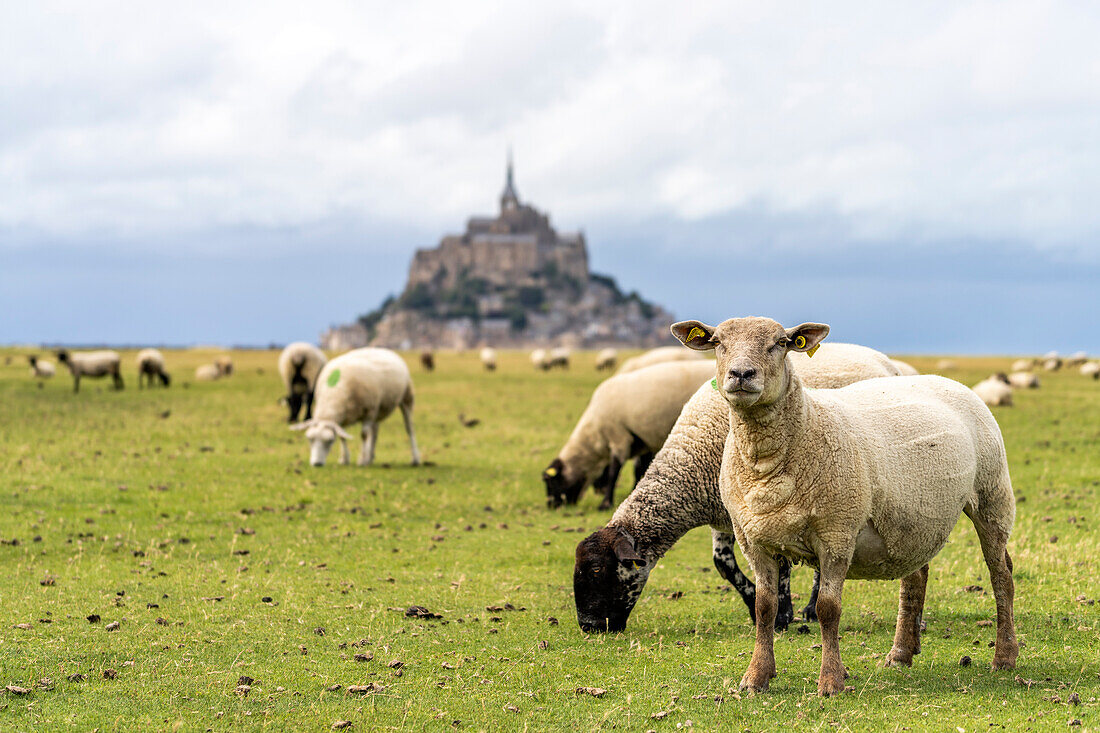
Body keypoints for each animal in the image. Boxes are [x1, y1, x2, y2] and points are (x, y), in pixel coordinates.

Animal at [292, 345, 420, 464]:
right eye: (309, 439)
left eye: (330, 440)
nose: (316, 464)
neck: (334, 393)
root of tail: (381, 349)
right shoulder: (345, 416)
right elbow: (342, 436)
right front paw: (344, 459)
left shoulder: (369, 411)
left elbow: (364, 435)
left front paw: (361, 461)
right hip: (378, 409)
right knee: (374, 432)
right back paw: (370, 457)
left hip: (406, 397)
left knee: (409, 428)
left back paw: (415, 458)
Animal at [545, 358, 717, 508]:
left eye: (551, 482)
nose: (551, 505)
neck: (595, 433)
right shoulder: (644, 441)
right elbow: (640, 469)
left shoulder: (619, 437)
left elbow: (614, 472)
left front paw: (605, 503)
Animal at [572, 338, 897, 629]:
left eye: (598, 570)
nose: (589, 627)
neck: (693, 458)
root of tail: (884, 361)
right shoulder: (723, 508)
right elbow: (723, 563)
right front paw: (757, 606)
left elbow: (780, 563)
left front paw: (782, 616)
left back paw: (812, 610)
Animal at [664, 316, 1016, 695]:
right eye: (717, 342)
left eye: (781, 343)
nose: (741, 374)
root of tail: (946, 381)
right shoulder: (753, 541)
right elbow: (764, 608)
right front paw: (756, 678)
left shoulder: (836, 534)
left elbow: (828, 609)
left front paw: (831, 680)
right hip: (912, 516)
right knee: (916, 576)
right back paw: (901, 654)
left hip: (992, 495)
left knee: (1001, 575)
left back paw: (1004, 657)